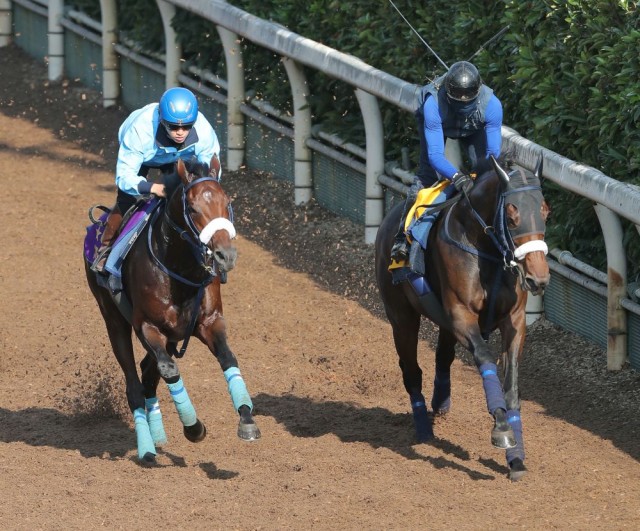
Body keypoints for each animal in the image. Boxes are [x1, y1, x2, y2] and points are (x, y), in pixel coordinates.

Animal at [85, 157, 260, 462]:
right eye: (193, 208)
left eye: (227, 202)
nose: (225, 255)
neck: (179, 267)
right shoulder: (147, 326)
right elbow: (169, 370)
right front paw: (193, 427)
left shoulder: (208, 322)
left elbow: (228, 358)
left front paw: (246, 419)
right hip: (115, 322)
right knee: (135, 383)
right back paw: (146, 446)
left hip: (171, 336)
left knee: (147, 372)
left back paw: (156, 434)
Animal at [376, 155, 552, 482]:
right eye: (512, 214)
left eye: (545, 211)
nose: (538, 278)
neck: (488, 252)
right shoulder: (460, 315)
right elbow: (485, 358)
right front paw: (501, 428)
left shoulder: (514, 320)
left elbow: (512, 383)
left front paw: (516, 456)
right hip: (401, 316)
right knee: (411, 370)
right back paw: (423, 429)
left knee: (442, 358)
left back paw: (441, 402)